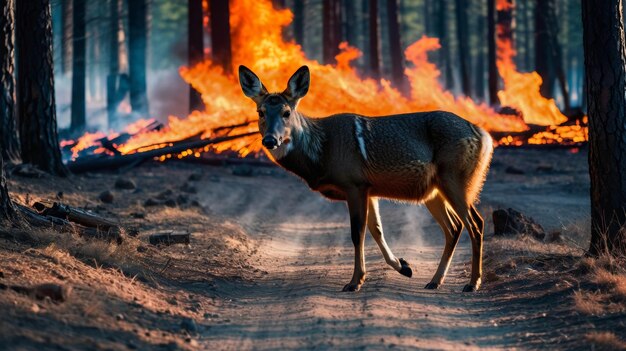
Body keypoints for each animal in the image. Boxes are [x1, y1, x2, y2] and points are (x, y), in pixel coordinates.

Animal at [238, 64, 492, 292]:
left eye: (286, 112)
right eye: (260, 112)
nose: (270, 140)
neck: (322, 154)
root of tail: (483, 135)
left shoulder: (355, 184)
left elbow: (357, 233)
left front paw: (354, 282)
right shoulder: (370, 189)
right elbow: (377, 229)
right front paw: (404, 266)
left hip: (456, 179)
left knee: (475, 223)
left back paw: (472, 283)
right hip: (433, 190)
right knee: (454, 227)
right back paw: (435, 281)